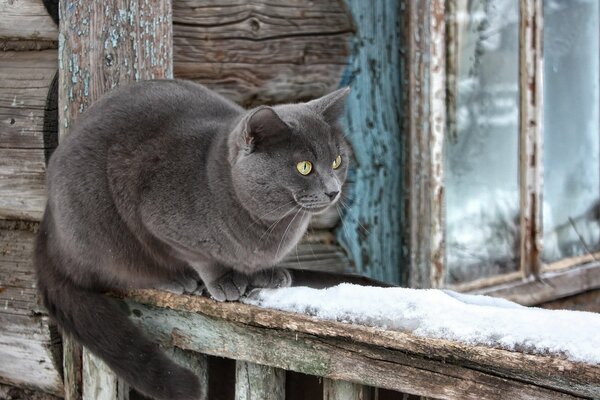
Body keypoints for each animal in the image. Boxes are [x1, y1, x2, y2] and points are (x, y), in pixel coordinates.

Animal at [32, 80, 350, 400]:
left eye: (337, 161)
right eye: (305, 167)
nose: (333, 190)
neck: (269, 227)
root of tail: (48, 227)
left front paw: (266, 274)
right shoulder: (161, 223)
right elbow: (204, 258)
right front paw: (224, 281)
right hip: (106, 232)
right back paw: (176, 280)